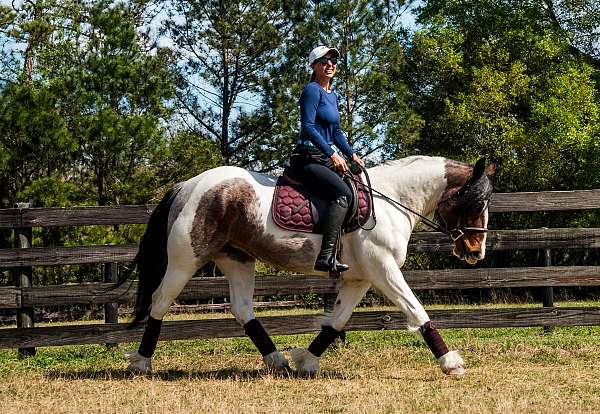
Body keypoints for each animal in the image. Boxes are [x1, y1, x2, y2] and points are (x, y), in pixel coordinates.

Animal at [124, 154, 494, 376]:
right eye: (476, 203)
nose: (476, 252)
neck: (394, 201)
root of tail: (187, 185)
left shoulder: (359, 279)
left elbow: (336, 321)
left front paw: (306, 361)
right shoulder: (383, 269)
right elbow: (416, 310)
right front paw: (451, 363)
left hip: (237, 259)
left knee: (243, 309)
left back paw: (277, 361)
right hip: (186, 260)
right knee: (160, 302)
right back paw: (141, 363)